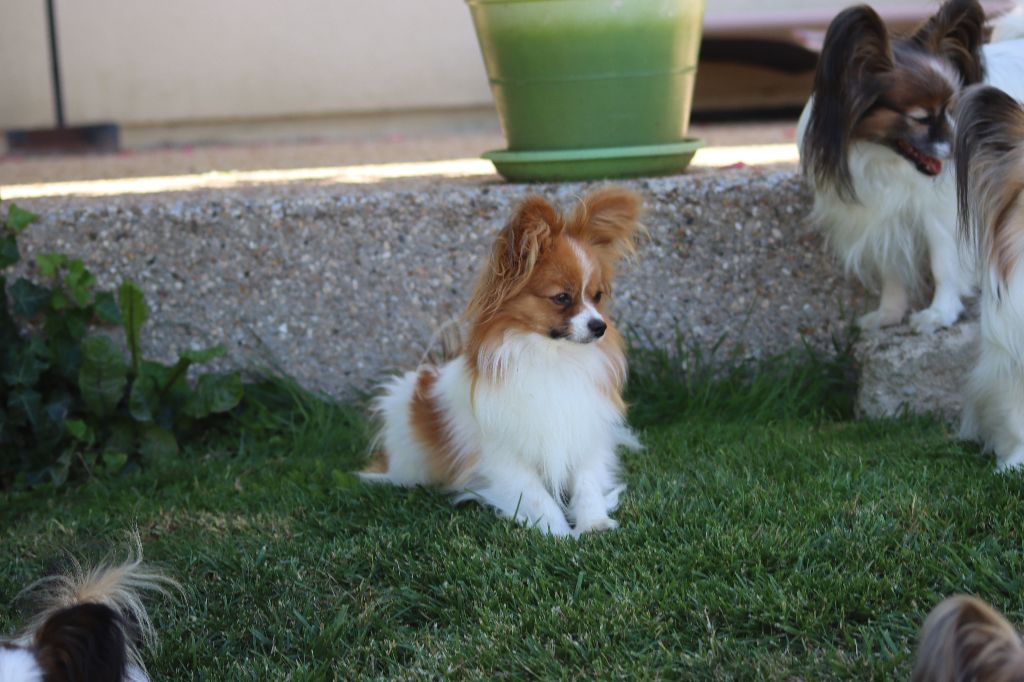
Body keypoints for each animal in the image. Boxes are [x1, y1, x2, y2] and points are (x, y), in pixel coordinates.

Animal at [364, 187, 643, 536]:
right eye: (561, 298)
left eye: (597, 297)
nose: (599, 326)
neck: (550, 355)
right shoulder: (503, 457)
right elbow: (537, 497)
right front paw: (561, 536)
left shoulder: (582, 433)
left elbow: (587, 483)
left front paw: (593, 524)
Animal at [794, 0, 1024, 333]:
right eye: (922, 119)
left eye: (954, 111)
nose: (962, 151)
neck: (884, 158)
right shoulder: (882, 215)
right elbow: (891, 270)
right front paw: (889, 313)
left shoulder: (943, 213)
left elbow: (943, 264)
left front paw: (940, 313)